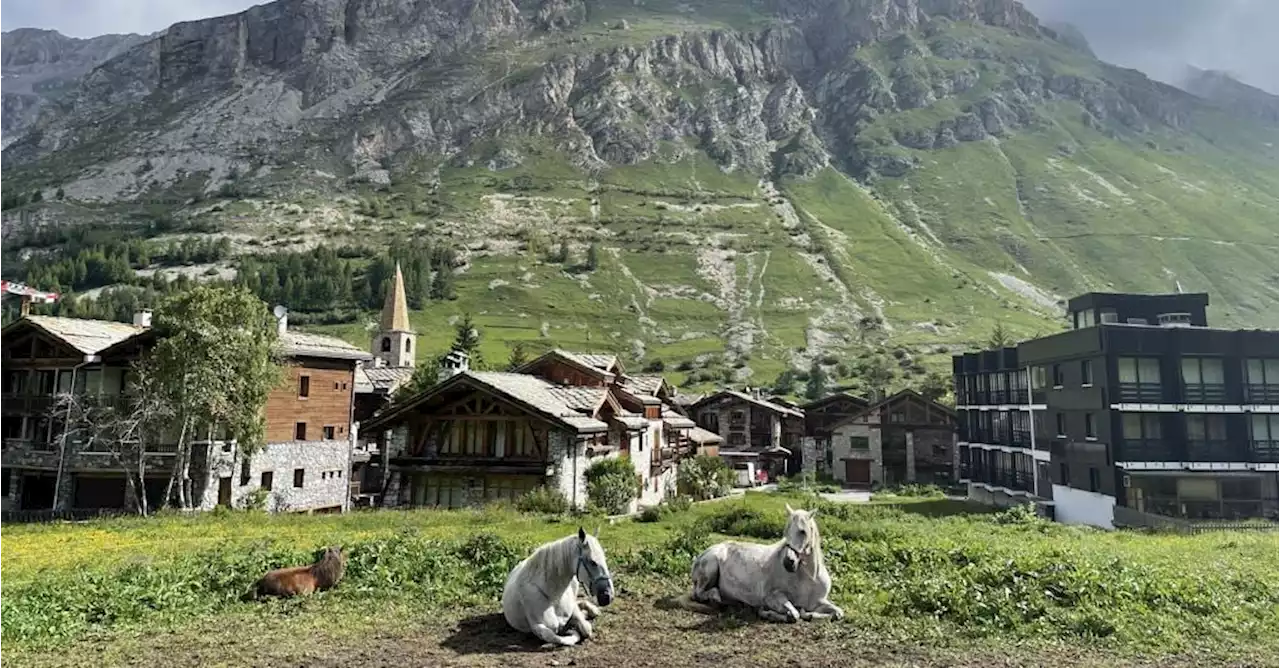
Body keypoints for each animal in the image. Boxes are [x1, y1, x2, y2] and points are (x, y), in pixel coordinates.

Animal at [691, 501, 839, 621]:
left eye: (803, 532)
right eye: (786, 531)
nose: (788, 562)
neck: (809, 578)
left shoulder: (818, 601)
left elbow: (838, 613)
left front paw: (809, 614)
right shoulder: (772, 596)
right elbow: (794, 614)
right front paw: (767, 613)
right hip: (710, 568)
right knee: (700, 593)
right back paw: (717, 598)